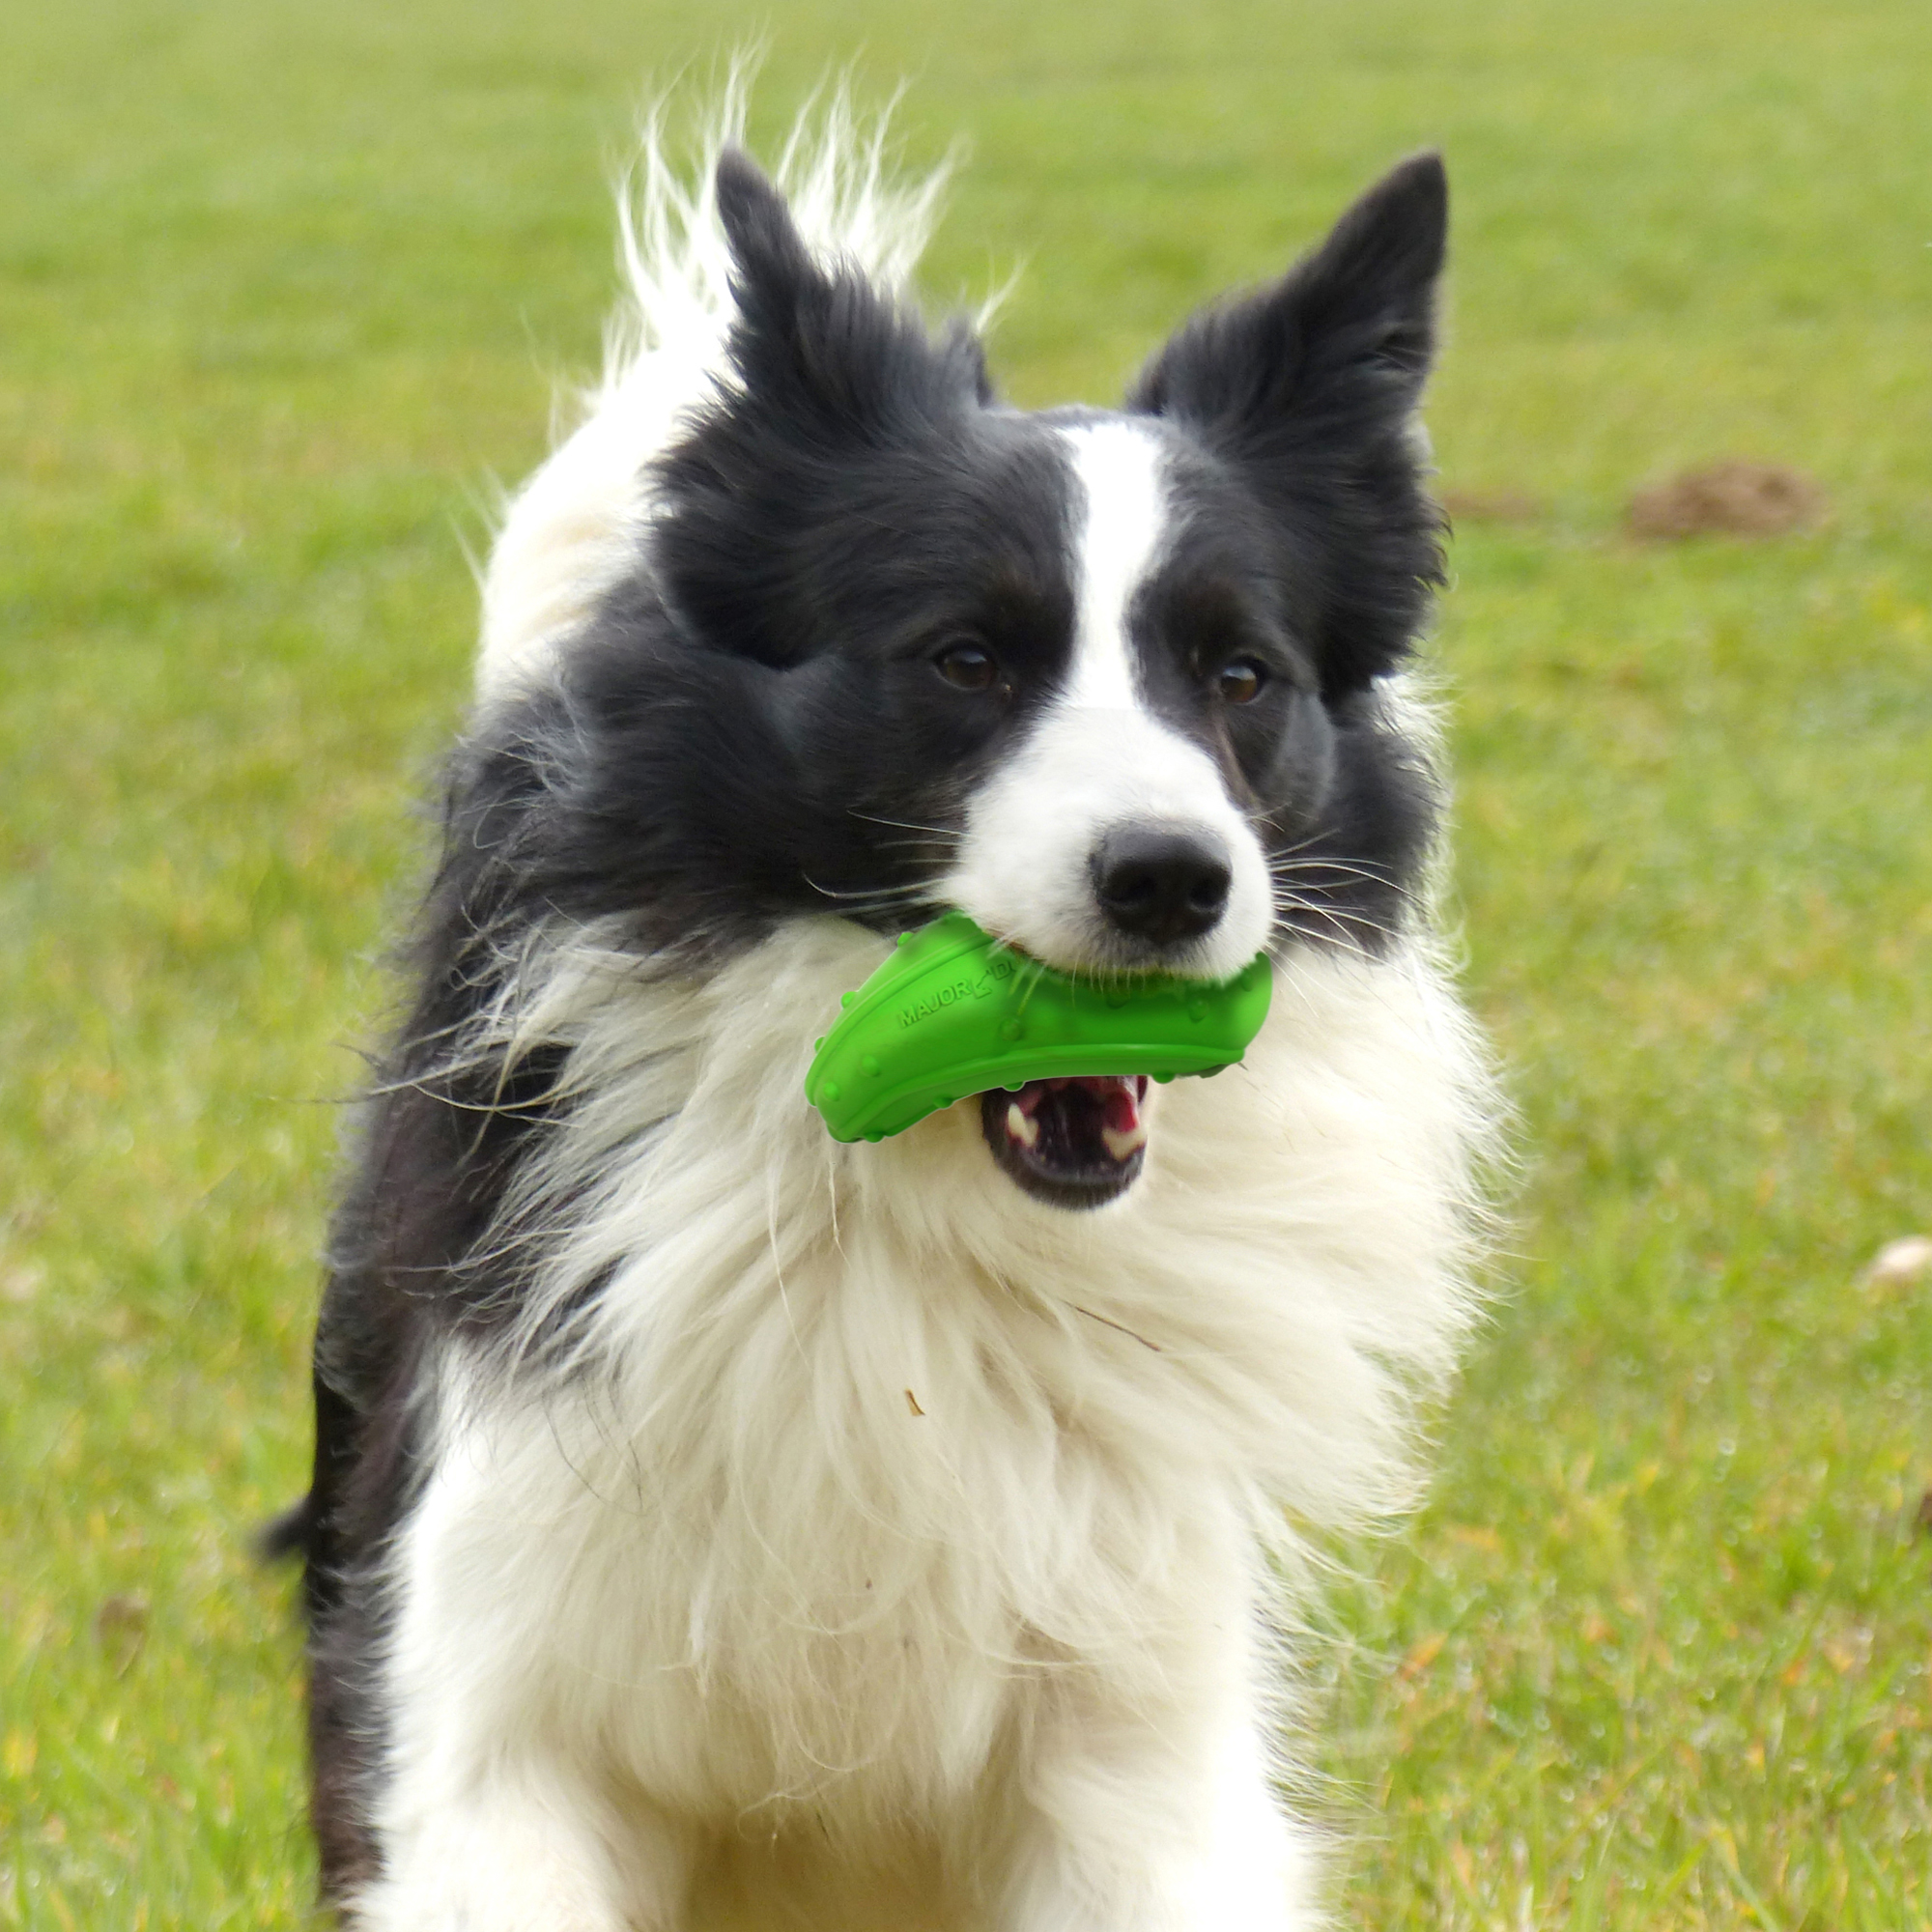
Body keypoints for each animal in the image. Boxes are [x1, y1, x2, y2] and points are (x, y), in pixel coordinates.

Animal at [286, 101, 1492, 1932]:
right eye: (967, 658)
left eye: (1240, 677)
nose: (1171, 879)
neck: (904, 1212)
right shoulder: (492, 1704)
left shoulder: (1133, 1740)